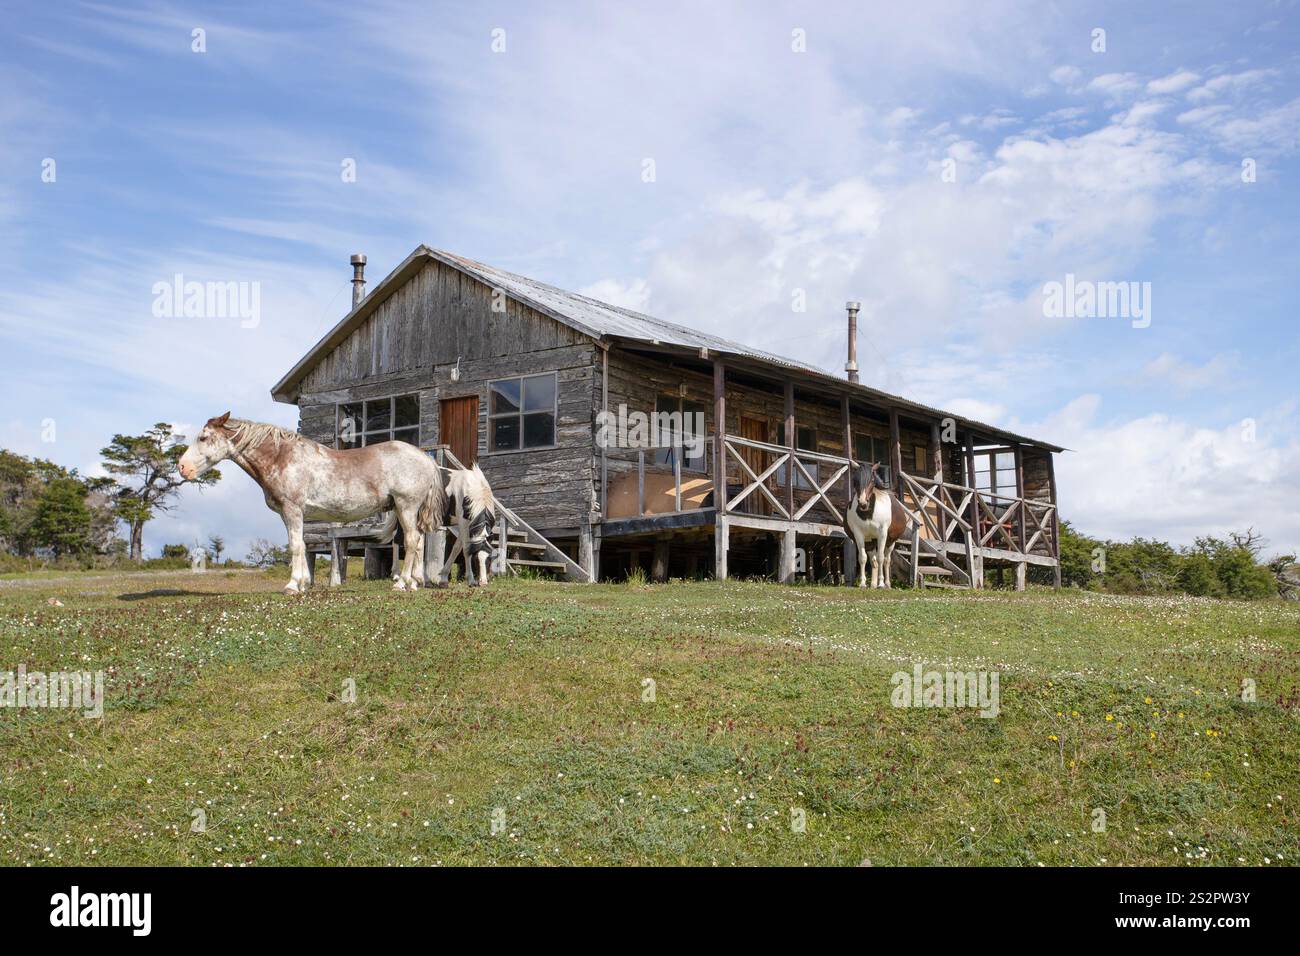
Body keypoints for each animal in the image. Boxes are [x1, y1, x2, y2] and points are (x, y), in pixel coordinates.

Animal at [177, 412, 445, 594]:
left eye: (203, 437)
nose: (182, 467)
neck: (282, 457)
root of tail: (426, 458)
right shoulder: (291, 514)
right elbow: (302, 546)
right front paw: (304, 583)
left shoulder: (292, 509)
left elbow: (296, 546)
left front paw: (293, 585)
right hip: (405, 509)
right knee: (419, 541)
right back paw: (415, 582)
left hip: (406, 506)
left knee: (412, 541)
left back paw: (402, 584)